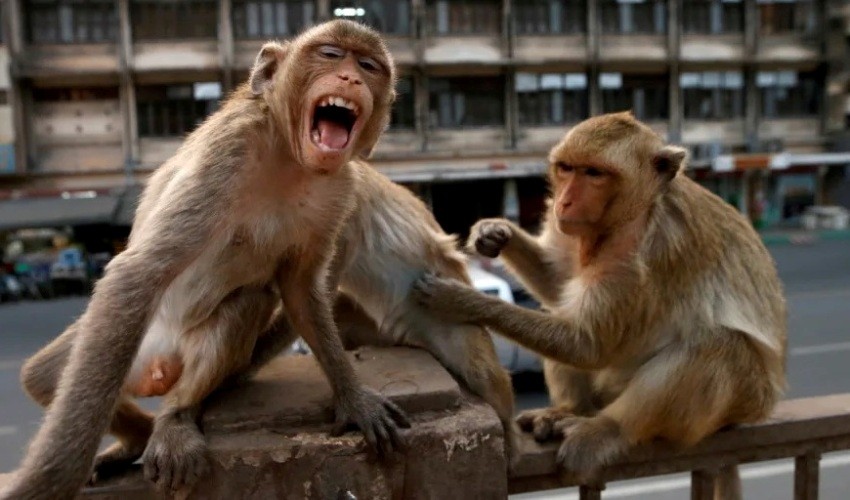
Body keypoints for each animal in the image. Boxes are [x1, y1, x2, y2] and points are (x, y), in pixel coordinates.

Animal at [2, 17, 408, 498]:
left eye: (368, 66)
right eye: (330, 54)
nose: (350, 79)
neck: (291, 158)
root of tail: (158, 366)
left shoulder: (341, 188)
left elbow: (300, 290)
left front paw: (352, 397)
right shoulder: (230, 150)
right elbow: (138, 272)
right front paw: (51, 478)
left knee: (245, 305)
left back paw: (172, 418)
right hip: (129, 342)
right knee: (46, 374)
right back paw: (139, 434)